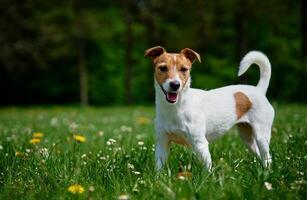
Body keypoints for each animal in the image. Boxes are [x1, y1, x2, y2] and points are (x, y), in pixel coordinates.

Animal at [146, 45, 276, 170]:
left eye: (184, 69)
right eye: (163, 68)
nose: (175, 85)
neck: (175, 108)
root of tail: (259, 90)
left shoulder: (200, 144)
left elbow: (207, 168)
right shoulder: (162, 143)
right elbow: (159, 167)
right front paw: (158, 177)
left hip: (261, 135)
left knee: (267, 157)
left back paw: (267, 171)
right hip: (247, 137)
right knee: (259, 154)